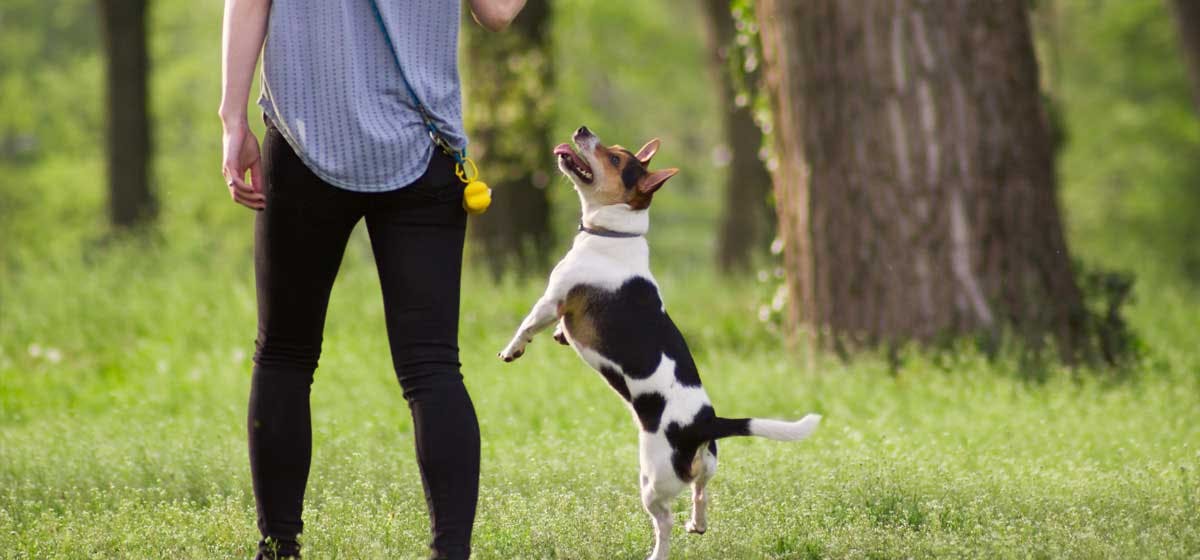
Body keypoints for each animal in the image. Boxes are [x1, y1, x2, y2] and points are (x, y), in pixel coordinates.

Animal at [492, 127, 820, 560]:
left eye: (615, 159)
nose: (582, 130)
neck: (616, 232)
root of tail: (704, 423)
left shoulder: (553, 299)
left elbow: (527, 324)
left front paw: (512, 349)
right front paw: (559, 336)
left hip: (652, 479)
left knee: (663, 522)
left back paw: (657, 552)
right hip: (706, 464)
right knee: (702, 490)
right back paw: (698, 523)